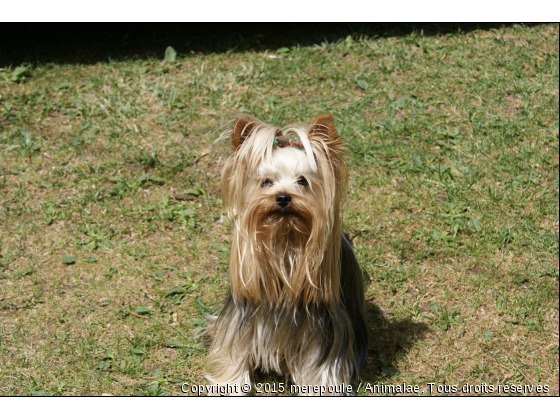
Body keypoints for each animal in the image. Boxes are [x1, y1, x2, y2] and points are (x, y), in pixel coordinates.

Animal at [206, 112, 368, 394]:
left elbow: (321, 365)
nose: (282, 197)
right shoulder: (242, 313)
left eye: (302, 180)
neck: (285, 240)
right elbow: (233, 348)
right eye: (266, 181)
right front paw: (230, 382)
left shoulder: (325, 328)